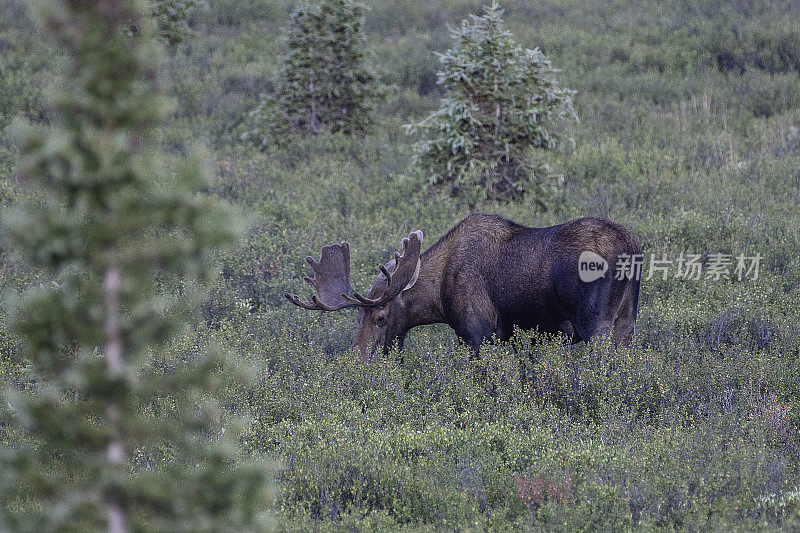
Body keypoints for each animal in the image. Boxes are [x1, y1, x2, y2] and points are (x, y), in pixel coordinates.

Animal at [284, 215, 640, 358]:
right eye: (358, 317)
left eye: (380, 317)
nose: (356, 360)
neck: (438, 297)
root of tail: (630, 244)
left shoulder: (475, 333)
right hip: (625, 324)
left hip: (596, 325)